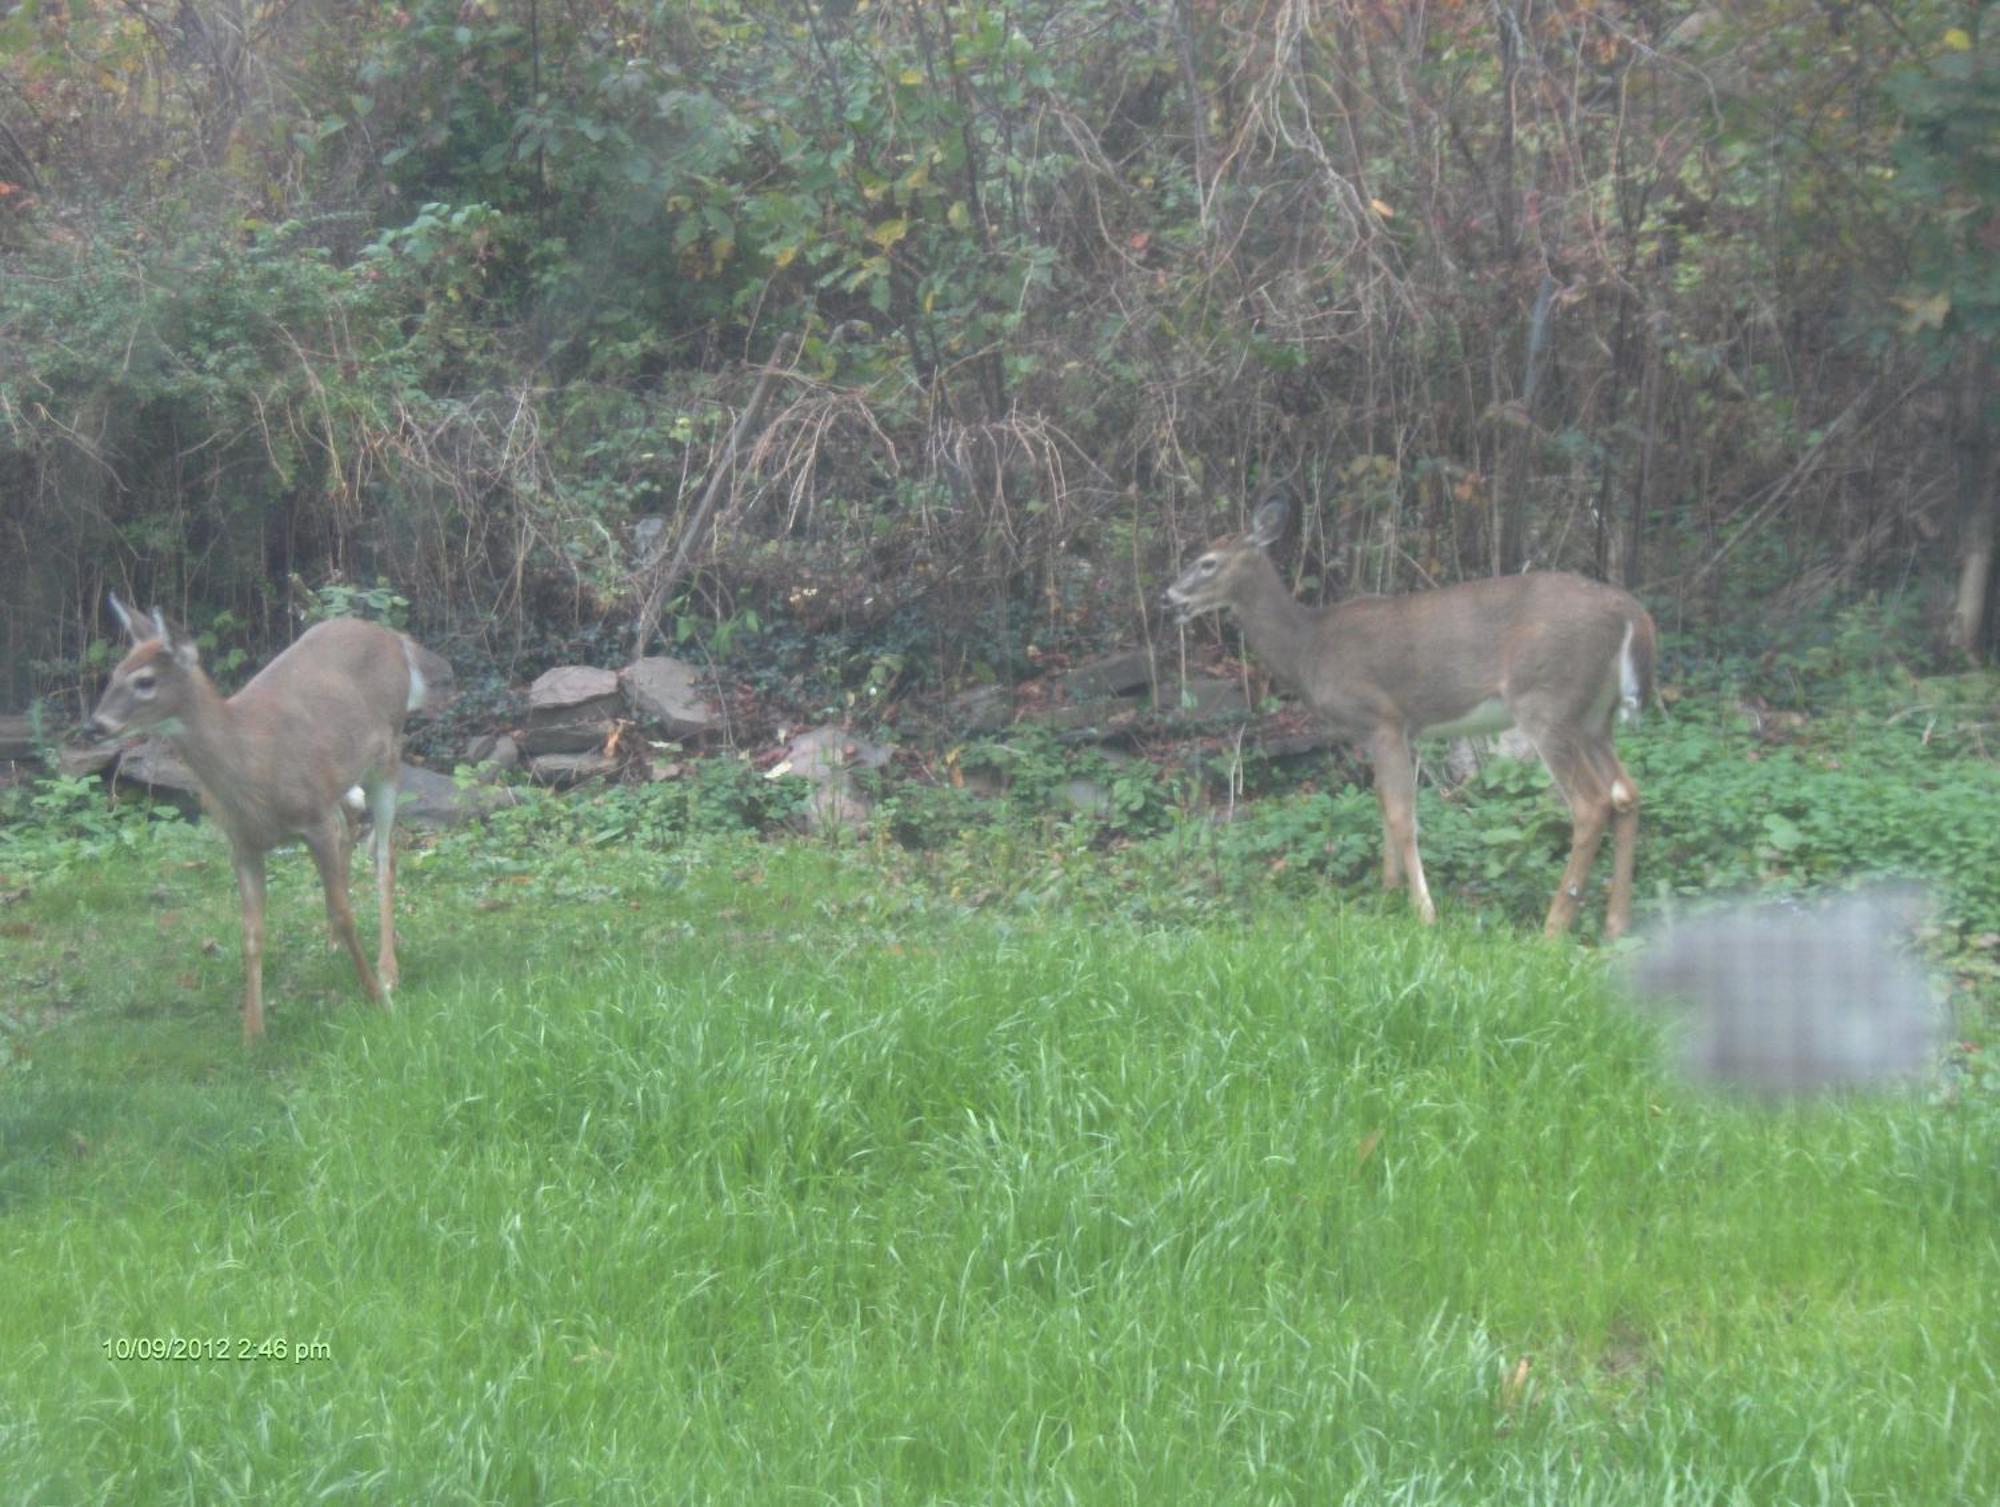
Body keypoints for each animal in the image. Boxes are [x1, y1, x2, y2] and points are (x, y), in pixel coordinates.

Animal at [87, 591, 438, 1039]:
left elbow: (345, 912)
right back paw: (332, 944)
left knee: (383, 854)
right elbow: (251, 932)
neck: (252, 764)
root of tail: (392, 637)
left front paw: (377, 998)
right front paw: (253, 1032)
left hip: (389, 753)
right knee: (350, 825)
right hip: (340, 778)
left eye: (145, 681)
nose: (95, 725)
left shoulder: (312, 820)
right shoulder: (243, 843)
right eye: (114, 673)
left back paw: (388, 969)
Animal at [1160, 499, 1656, 935]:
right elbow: (1383, 803)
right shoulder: (1392, 732)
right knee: (1627, 792)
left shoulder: (1383, 717)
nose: (1168, 598)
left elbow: (1402, 815)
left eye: (1207, 563)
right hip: (1594, 717)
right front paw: (1389, 892)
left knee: (1591, 804)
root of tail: (1633, 615)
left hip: (1546, 701)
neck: (1308, 648)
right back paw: (1616, 924)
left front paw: (1424, 912)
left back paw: (1554, 927)